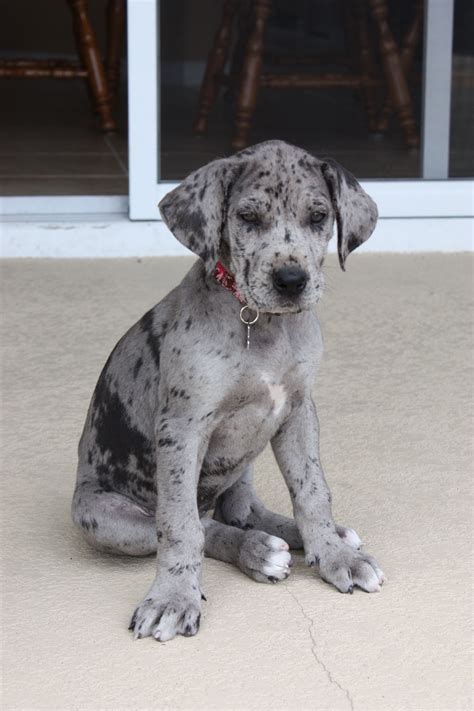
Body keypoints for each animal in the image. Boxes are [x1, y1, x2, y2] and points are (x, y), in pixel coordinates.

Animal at [72, 140, 384, 644]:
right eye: (248, 218)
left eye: (319, 216)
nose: (291, 281)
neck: (262, 325)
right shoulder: (183, 427)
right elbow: (180, 527)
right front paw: (173, 598)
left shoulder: (299, 412)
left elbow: (312, 491)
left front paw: (334, 553)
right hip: (104, 518)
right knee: (200, 524)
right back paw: (258, 551)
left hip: (244, 465)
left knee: (238, 510)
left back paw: (301, 535)